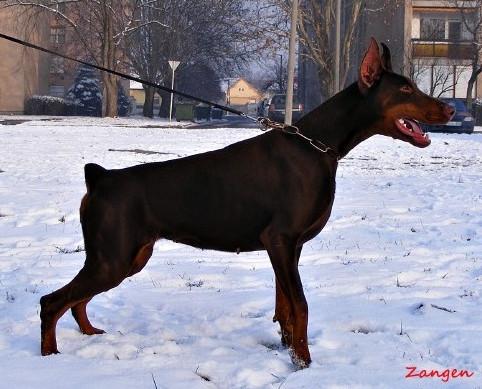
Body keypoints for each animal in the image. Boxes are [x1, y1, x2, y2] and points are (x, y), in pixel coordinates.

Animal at [39, 39, 454, 366]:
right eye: (405, 90)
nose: (450, 110)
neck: (318, 146)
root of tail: (100, 178)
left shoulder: (290, 247)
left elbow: (285, 305)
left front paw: (289, 348)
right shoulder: (280, 239)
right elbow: (300, 304)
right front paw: (304, 362)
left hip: (126, 258)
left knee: (76, 300)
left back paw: (90, 333)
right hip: (113, 258)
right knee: (51, 302)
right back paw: (49, 356)